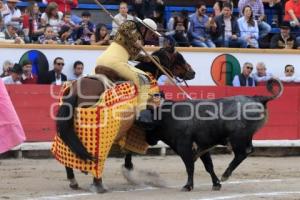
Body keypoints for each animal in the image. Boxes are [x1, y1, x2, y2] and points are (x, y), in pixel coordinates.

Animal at [53, 46, 195, 192]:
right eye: (180, 58)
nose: (192, 72)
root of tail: (75, 90)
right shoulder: (136, 128)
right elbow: (129, 149)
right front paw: (129, 169)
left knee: (68, 149)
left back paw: (73, 181)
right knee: (96, 158)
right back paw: (98, 184)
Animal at [125, 77, 284, 191]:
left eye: (147, 127)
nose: (149, 141)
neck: (166, 116)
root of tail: (257, 98)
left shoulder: (184, 147)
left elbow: (189, 166)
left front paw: (188, 186)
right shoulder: (203, 146)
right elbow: (209, 166)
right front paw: (216, 184)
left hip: (237, 137)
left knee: (242, 153)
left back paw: (225, 175)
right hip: (245, 137)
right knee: (249, 150)